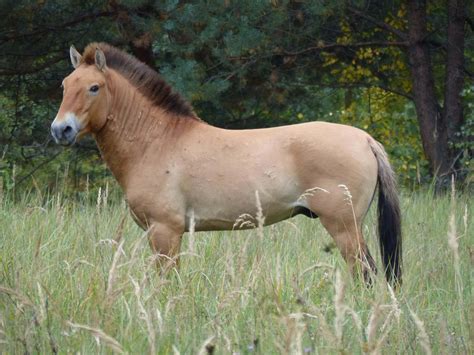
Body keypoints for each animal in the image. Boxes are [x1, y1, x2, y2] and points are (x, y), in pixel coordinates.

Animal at [50, 43, 402, 286]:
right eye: (65, 85)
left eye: (94, 87)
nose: (60, 130)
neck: (157, 141)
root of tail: (365, 140)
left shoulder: (165, 232)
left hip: (344, 228)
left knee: (366, 275)